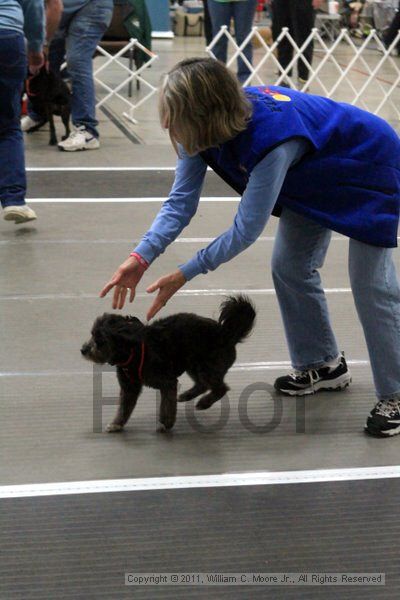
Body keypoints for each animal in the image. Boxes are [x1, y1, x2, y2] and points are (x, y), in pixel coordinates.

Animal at [81, 296, 256, 432]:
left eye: (100, 341)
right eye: (91, 334)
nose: (83, 350)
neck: (132, 352)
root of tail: (227, 333)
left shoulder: (167, 383)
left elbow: (167, 406)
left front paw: (166, 423)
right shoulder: (129, 388)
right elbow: (124, 409)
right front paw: (116, 424)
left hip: (207, 367)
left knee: (220, 388)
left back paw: (204, 402)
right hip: (193, 365)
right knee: (202, 384)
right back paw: (188, 395)